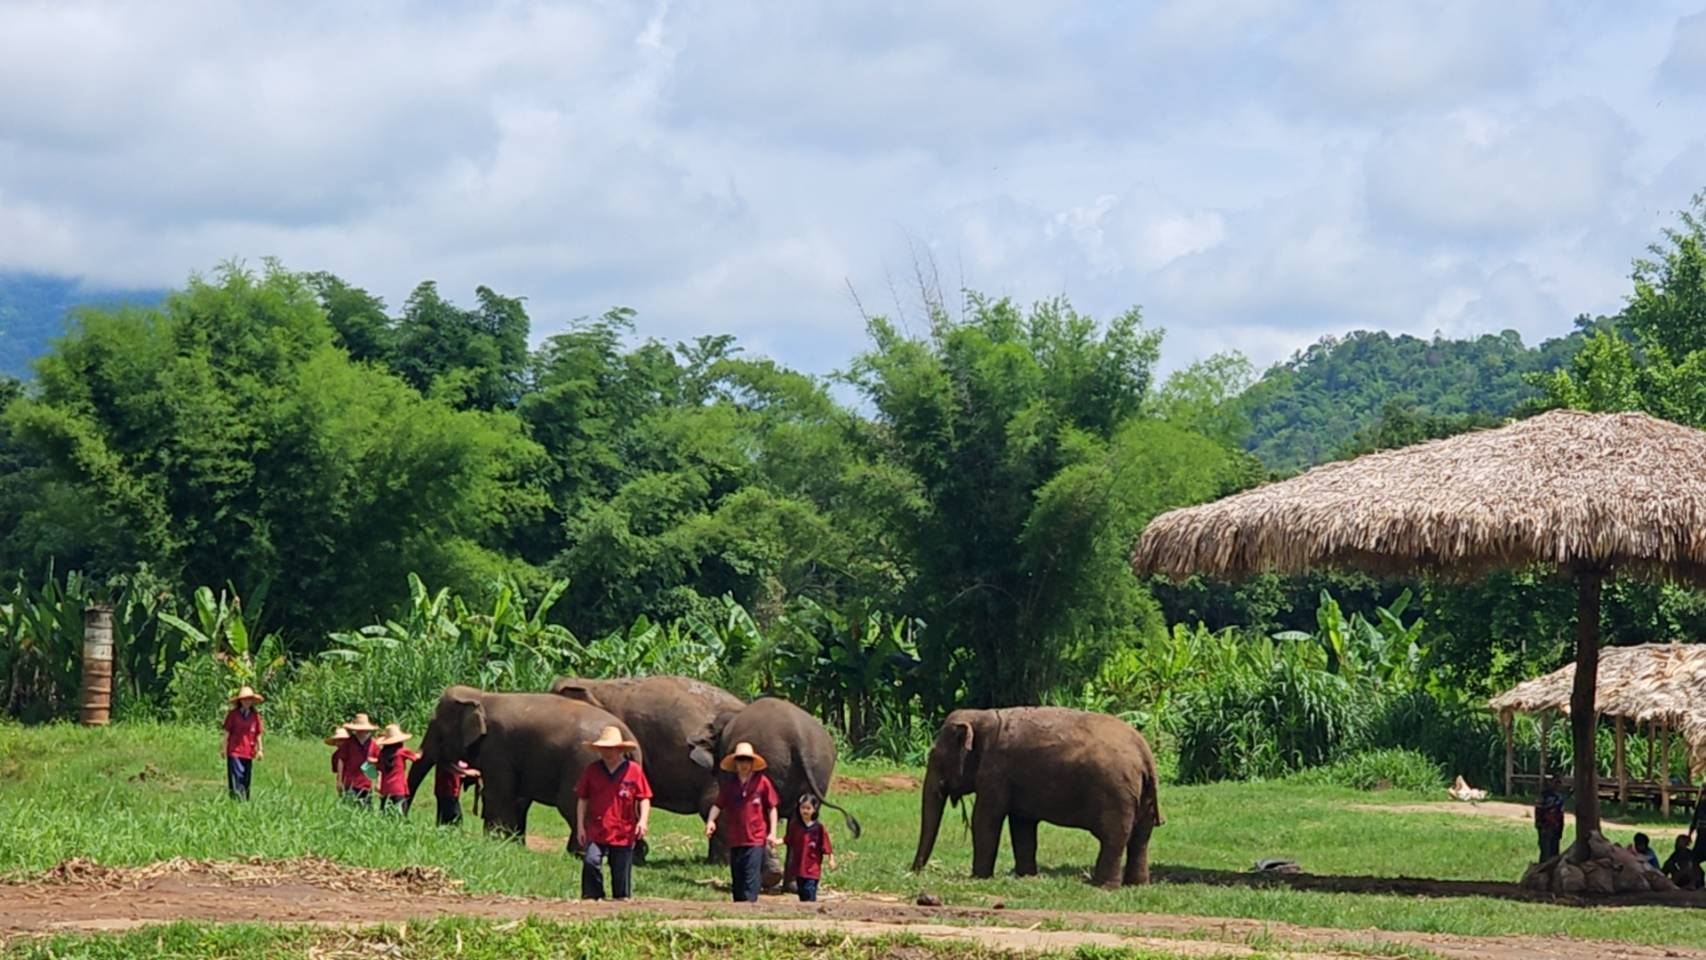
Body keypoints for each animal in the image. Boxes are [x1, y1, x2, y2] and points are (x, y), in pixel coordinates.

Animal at [405, 685, 641, 852]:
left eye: (438, 729)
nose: (403, 819)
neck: (482, 696)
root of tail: (627, 735)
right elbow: (517, 798)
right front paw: (512, 844)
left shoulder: (497, 747)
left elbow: (497, 794)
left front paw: (494, 842)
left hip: (583, 763)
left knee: (572, 805)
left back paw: (577, 854)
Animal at [910, 706, 1162, 888]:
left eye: (935, 756)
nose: (914, 872)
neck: (982, 715)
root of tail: (1144, 753)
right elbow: (1022, 825)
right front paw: (1026, 876)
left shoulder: (996, 771)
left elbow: (985, 819)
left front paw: (979, 878)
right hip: (1143, 797)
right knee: (1141, 839)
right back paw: (1137, 885)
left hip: (1116, 794)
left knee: (1114, 837)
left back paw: (1102, 886)